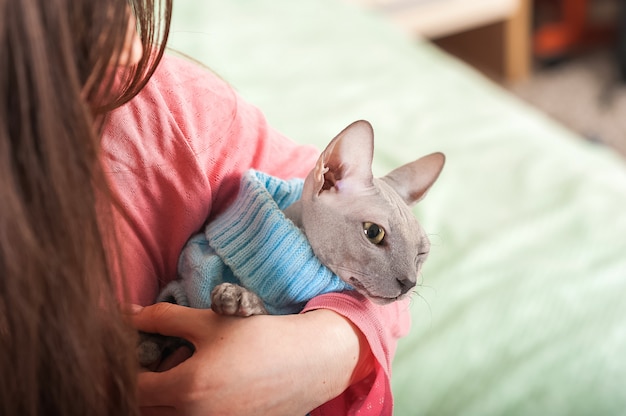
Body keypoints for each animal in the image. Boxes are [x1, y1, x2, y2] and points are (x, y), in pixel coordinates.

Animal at [138, 119, 442, 364]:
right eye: (373, 232)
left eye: (421, 254)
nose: (409, 283)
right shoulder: (179, 288)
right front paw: (148, 345)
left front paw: (239, 299)